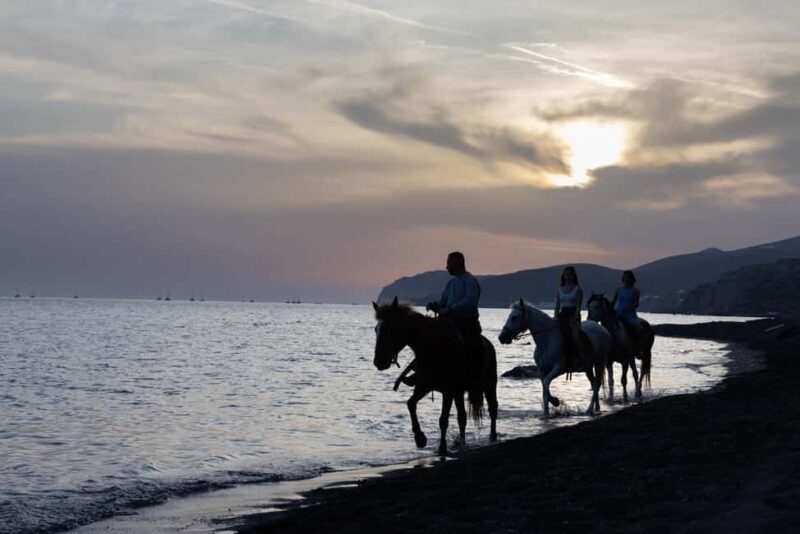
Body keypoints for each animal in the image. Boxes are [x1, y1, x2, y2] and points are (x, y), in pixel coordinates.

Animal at [373, 297, 498, 456]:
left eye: (390, 329)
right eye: (376, 329)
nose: (378, 362)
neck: (432, 349)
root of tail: (489, 345)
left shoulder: (448, 391)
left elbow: (443, 419)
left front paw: (442, 448)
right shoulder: (424, 386)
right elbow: (410, 404)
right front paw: (420, 438)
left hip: (489, 385)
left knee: (493, 408)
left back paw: (492, 437)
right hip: (459, 392)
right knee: (462, 417)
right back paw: (461, 443)